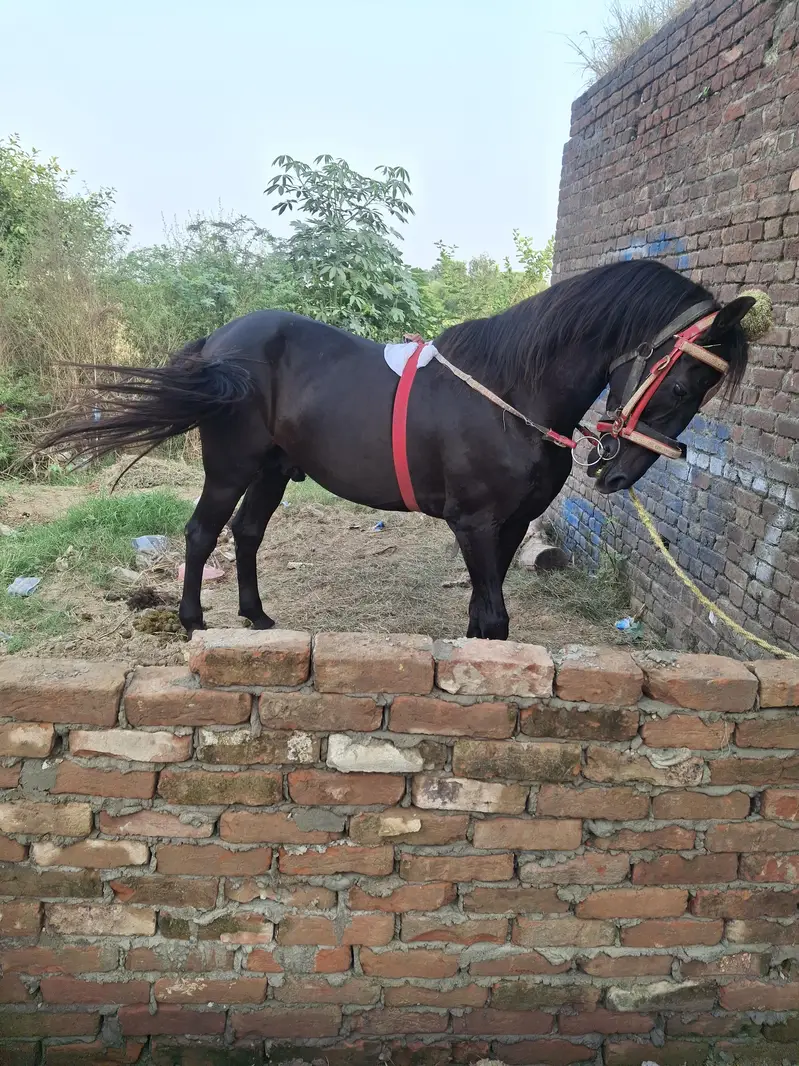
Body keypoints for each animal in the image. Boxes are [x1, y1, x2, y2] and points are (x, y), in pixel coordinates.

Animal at [38, 259, 753, 640]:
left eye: (705, 390)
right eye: (683, 381)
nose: (619, 475)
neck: (510, 392)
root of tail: (219, 344)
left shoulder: (510, 527)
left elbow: (484, 616)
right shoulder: (474, 524)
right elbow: (494, 617)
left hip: (273, 470)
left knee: (246, 533)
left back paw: (258, 617)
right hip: (231, 466)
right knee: (201, 532)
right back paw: (193, 621)